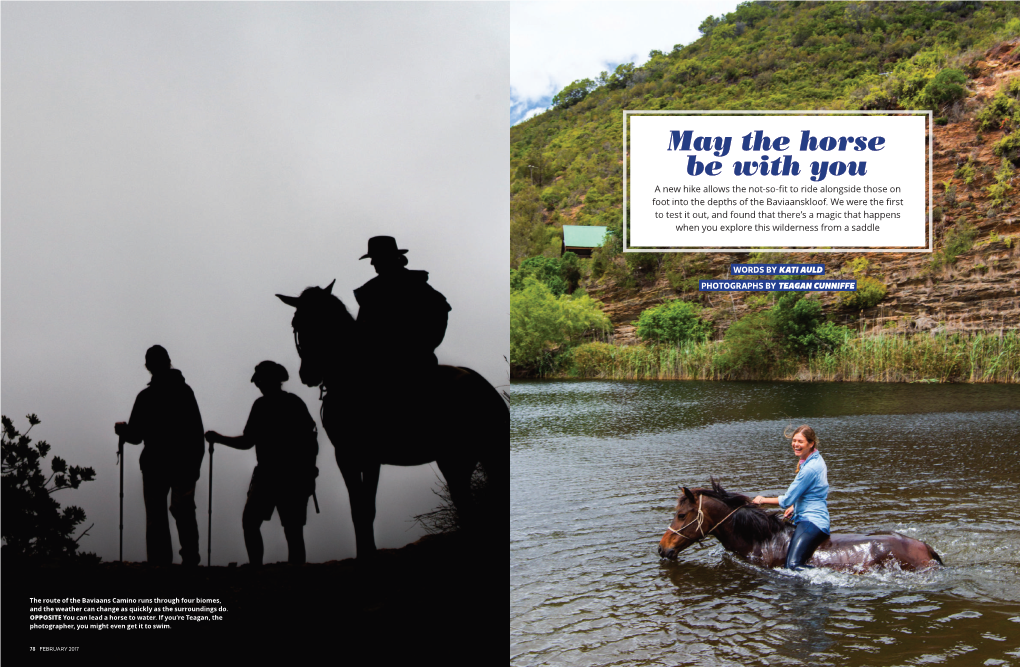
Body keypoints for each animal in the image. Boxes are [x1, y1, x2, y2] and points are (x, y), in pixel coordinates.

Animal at [277, 281, 507, 558]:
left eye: (326, 322)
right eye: (297, 323)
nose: (308, 373)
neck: (353, 378)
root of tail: (486, 389)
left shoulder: (358, 454)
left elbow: (363, 508)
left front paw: (366, 554)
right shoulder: (356, 456)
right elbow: (361, 508)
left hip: (463, 457)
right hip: (464, 458)